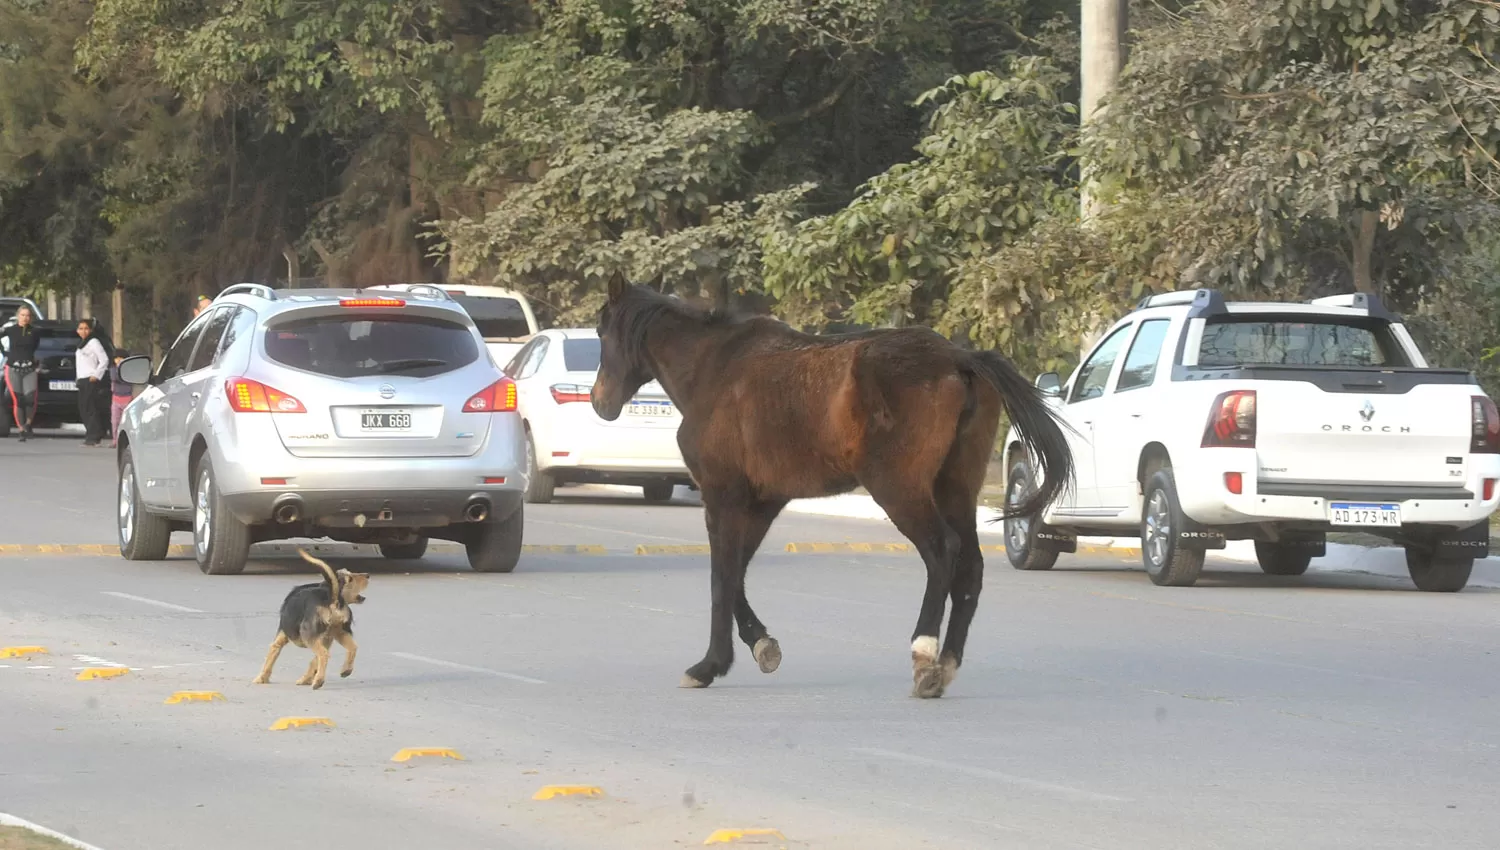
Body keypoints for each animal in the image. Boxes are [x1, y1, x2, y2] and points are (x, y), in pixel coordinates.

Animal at [252, 551, 369, 692]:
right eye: (350, 578)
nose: (368, 575)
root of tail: (332, 597)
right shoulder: (326, 639)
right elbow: (314, 662)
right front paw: (307, 679)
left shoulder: (280, 638)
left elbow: (270, 658)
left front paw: (261, 679)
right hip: (338, 632)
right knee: (352, 648)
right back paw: (345, 670)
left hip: (309, 635)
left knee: (324, 655)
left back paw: (318, 681)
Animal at [591, 278, 1074, 698]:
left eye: (600, 330)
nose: (600, 401)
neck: (714, 367)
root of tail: (958, 356)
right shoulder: (763, 501)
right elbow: (736, 575)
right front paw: (762, 646)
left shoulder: (722, 496)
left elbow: (721, 578)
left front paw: (710, 665)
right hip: (954, 487)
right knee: (970, 566)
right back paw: (946, 665)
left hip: (900, 489)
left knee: (942, 551)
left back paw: (924, 657)